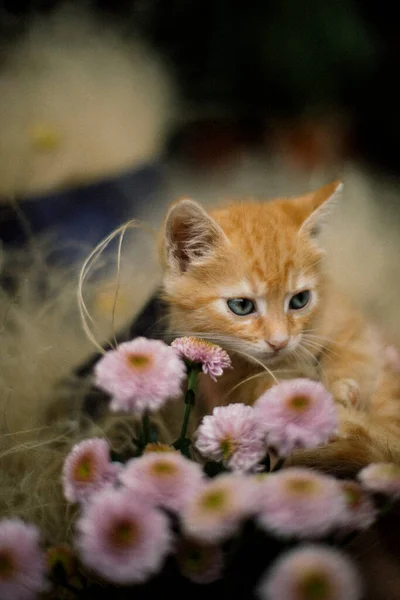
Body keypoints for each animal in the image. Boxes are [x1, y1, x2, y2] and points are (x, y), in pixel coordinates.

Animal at [159, 180, 400, 476]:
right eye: (241, 305)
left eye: (299, 300)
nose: (280, 341)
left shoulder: (348, 321)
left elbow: (354, 351)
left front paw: (342, 392)